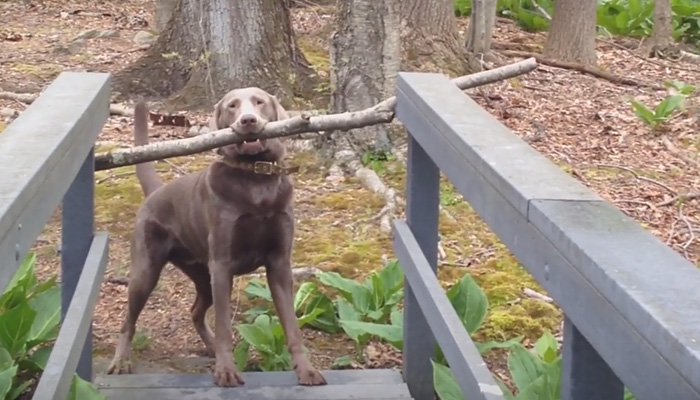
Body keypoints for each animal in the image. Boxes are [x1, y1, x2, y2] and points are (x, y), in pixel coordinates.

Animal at [107, 87, 328, 388]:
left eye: (259, 102)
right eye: (232, 106)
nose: (248, 120)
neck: (255, 180)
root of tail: (156, 192)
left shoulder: (280, 263)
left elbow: (292, 326)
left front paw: (306, 370)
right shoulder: (223, 265)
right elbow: (224, 325)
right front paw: (226, 372)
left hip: (202, 275)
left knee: (195, 311)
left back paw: (209, 346)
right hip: (147, 272)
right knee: (128, 319)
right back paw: (121, 361)